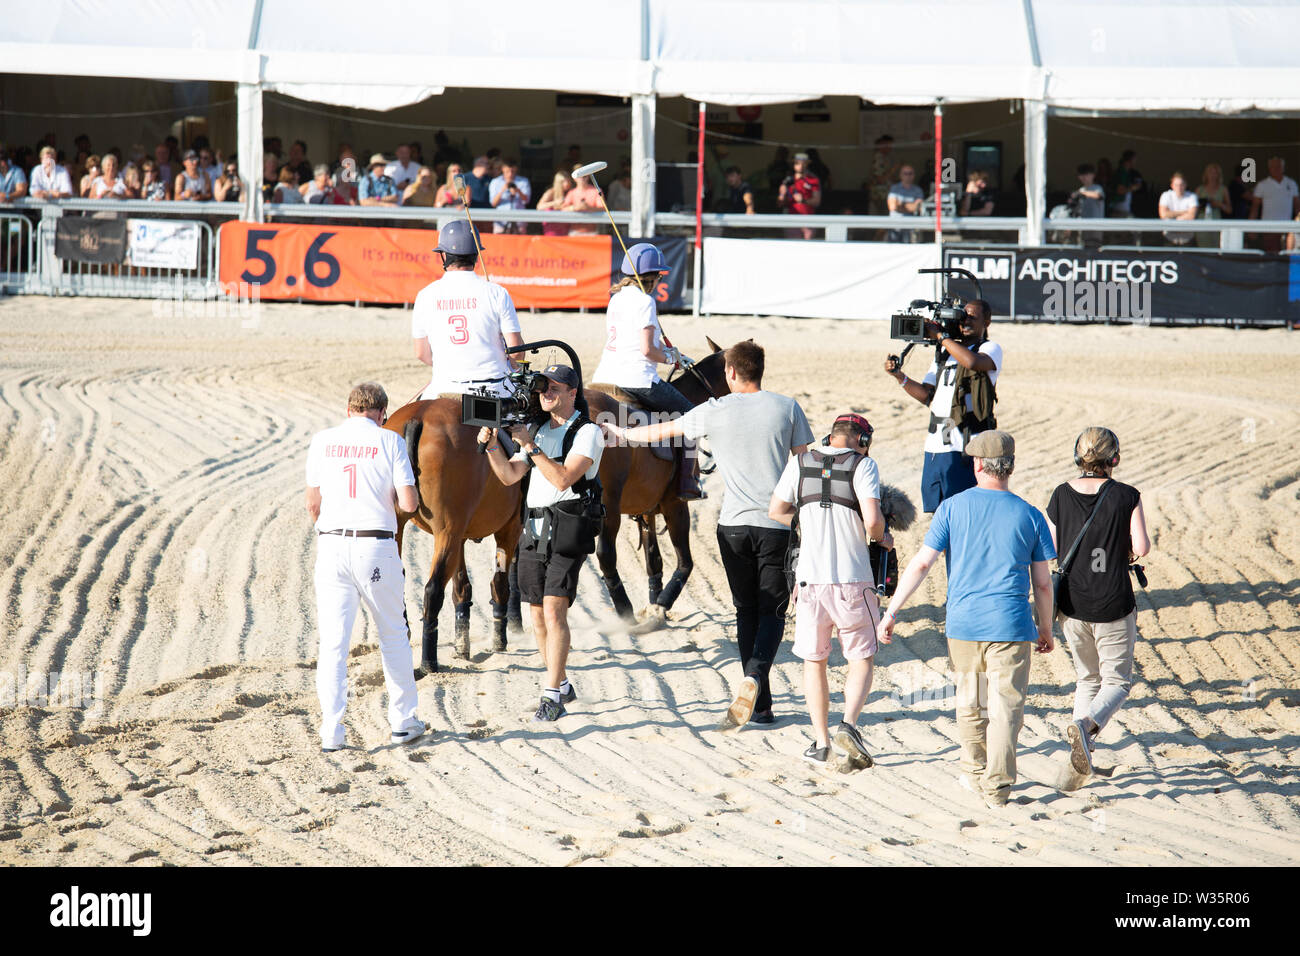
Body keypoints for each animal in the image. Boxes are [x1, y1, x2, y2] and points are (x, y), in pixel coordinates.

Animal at [379, 395, 517, 671]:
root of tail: (418, 417)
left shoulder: (459, 535)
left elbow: (462, 586)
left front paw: (462, 646)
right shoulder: (511, 526)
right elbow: (499, 583)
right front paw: (499, 640)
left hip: (407, 528)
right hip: (448, 532)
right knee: (433, 589)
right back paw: (428, 662)